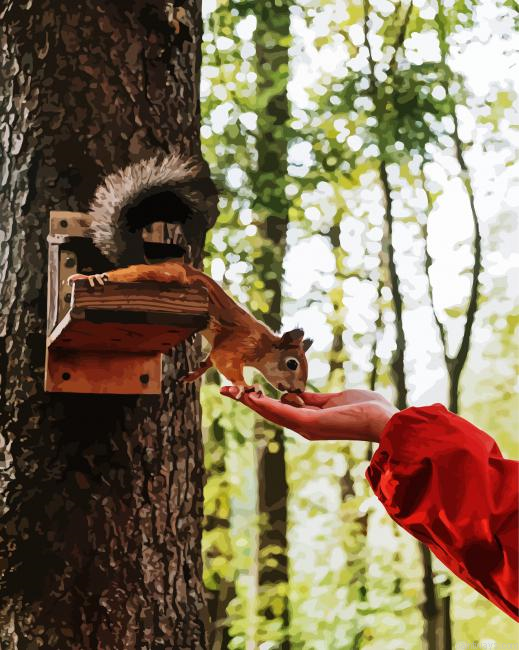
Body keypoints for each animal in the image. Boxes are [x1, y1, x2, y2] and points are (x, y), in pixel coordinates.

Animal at [68, 153, 312, 399]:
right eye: (292, 363)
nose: (299, 390)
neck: (263, 345)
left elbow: (211, 359)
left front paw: (196, 373)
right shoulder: (240, 342)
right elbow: (223, 360)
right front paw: (245, 385)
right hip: (172, 273)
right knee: (133, 273)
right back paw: (91, 278)